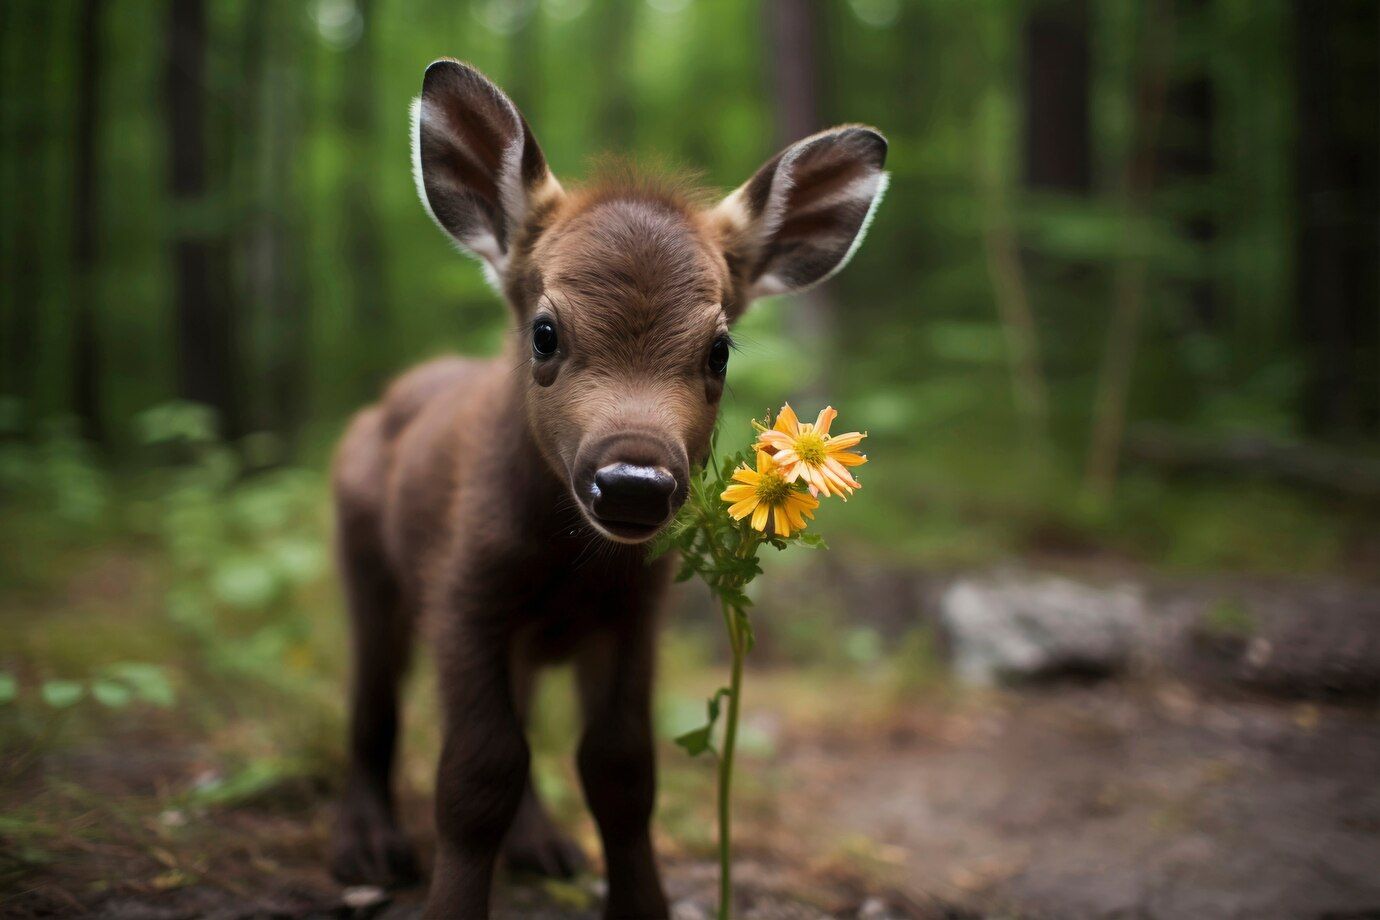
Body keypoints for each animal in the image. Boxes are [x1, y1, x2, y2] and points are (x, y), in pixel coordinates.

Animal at [329, 59, 888, 920]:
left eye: (720, 349)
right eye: (545, 331)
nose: (632, 483)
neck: (567, 565)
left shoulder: (633, 614)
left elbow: (620, 769)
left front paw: (639, 902)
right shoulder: (463, 594)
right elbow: (475, 774)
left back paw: (543, 847)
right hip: (365, 561)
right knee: (373, 703)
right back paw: (367, 847)